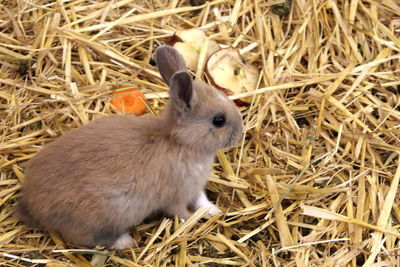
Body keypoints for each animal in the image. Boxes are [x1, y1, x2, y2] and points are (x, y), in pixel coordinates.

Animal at [14, 45, 244, 250]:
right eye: (218, 120)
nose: (240, 132)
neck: (178, 141)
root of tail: (31, 206)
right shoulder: (176, 195)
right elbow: (180, 212)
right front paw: (190, 221)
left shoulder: (195, 190)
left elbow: (202, 202)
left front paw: (214, 211)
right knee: (86, 239)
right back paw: (124, 241)